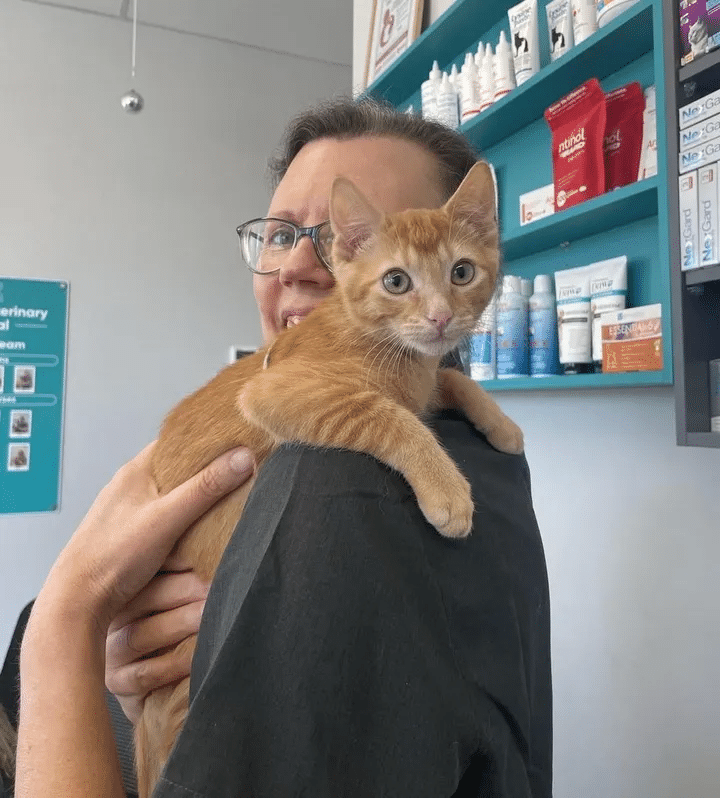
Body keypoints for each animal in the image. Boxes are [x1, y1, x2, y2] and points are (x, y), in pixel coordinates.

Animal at [136, 159, 524, 796]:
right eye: (397, 281)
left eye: (462, 272)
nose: (442, 317)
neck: (378, 340)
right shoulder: (277, 391)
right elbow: (385, 414)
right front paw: (446, 488)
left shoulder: (424, 375)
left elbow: (445, 380)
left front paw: (501, 422)